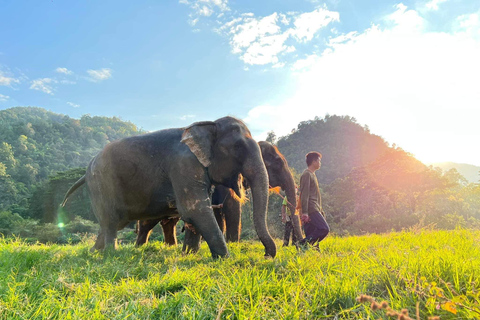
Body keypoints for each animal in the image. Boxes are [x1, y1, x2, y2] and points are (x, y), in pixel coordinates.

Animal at [62, 116, 276, 258]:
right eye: (238, 148)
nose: (266, 255)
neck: (207, 123)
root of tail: (86, 171)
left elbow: (196, 212)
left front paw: (190, 256)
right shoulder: (183, 166)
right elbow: (194, 210)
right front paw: (225, 260)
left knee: (110, 223)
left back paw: (93, 252)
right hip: (102, 184)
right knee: (111, 222)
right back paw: (110, 254)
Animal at [135, 141, 302, 251]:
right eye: (278, 163)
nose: (300, 245)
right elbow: (232, 208)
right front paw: (233, 243)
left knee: (169, 222)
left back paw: (170, 247)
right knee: (147, 223)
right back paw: (139, 248)